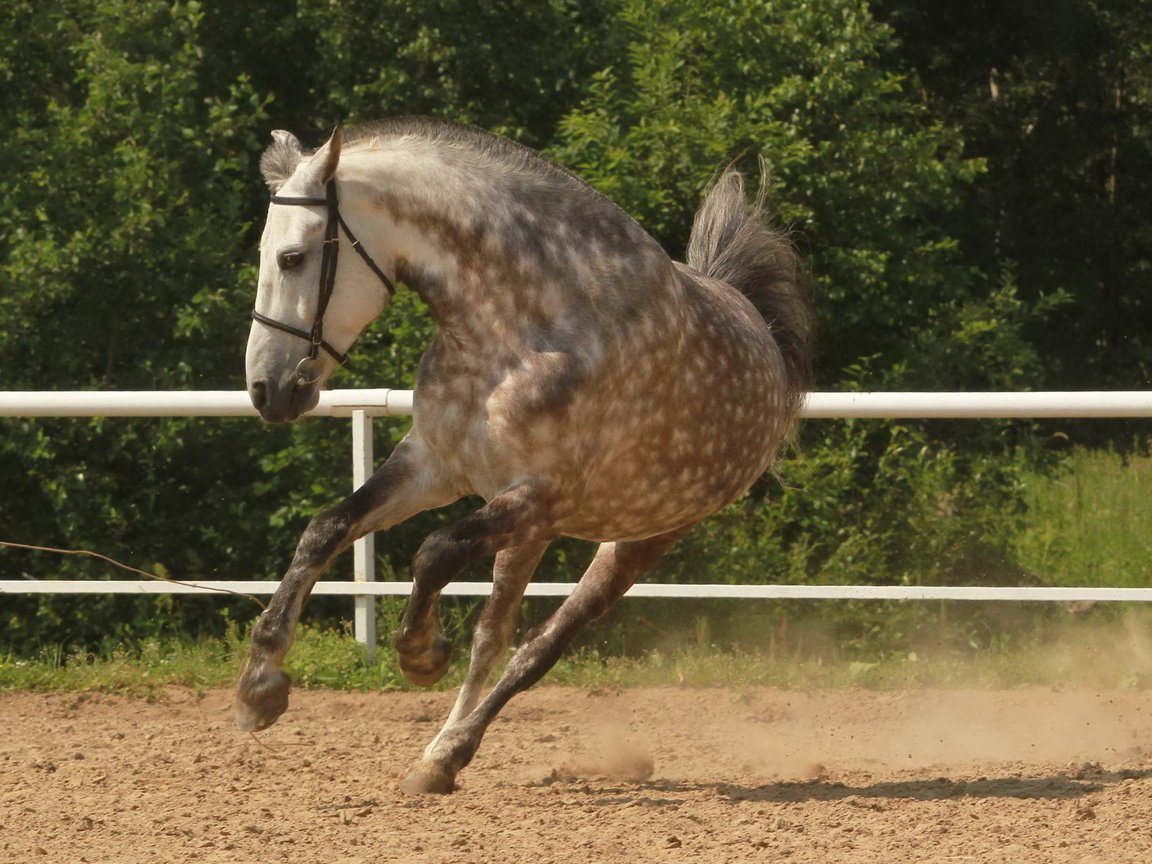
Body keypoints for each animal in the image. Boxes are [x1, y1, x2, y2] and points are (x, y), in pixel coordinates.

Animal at [233, 118, 811, 797]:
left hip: (634, 540)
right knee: (494, 635)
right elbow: (327, 528)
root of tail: (756, 326)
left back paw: (451, 749)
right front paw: (260, 686)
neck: (518, 330)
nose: (267, 391)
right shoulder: (433, 465)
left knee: (538, 646)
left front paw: (421, 653)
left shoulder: (539, 496)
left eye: (293, 258)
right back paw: (436, 756)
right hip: (531, 534)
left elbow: (434, 552)